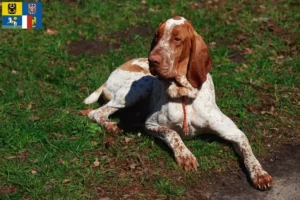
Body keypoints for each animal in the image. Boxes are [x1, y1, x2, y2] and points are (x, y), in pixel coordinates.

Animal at [84, 16, 274, 190]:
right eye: (157, 36)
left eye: (177, 39)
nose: (152, 60)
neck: (184, 94)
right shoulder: (151, 123)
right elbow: (173, 134)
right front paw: (186, 156)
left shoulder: (234, 132)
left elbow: (249, 153)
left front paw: (260, 174)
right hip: (138, 89)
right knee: (96, 112)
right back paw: (111, 126)